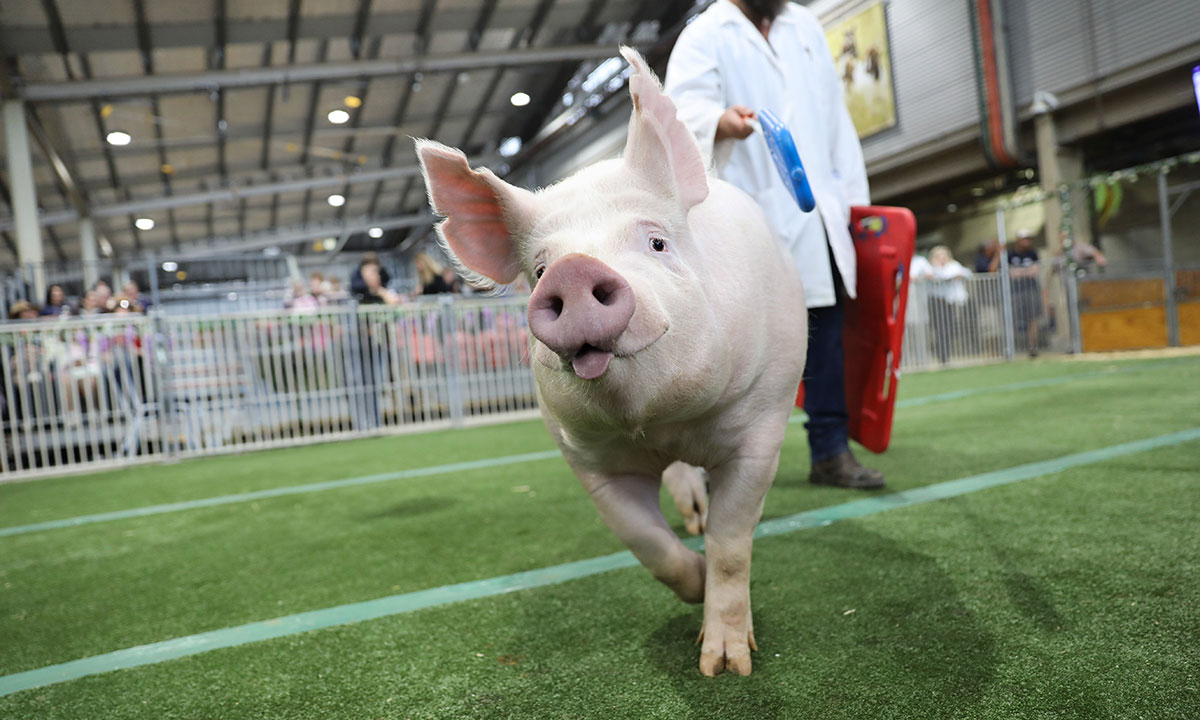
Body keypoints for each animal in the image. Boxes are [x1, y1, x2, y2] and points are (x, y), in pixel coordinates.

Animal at [415, 46, 806, 676]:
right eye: (540, 269)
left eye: (657, 243)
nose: (574, 269)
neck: (659, 425)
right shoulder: (591, 461)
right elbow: (646, 544)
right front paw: (693, 583)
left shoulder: (761, 426)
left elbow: (730, 541)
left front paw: (724, 667)